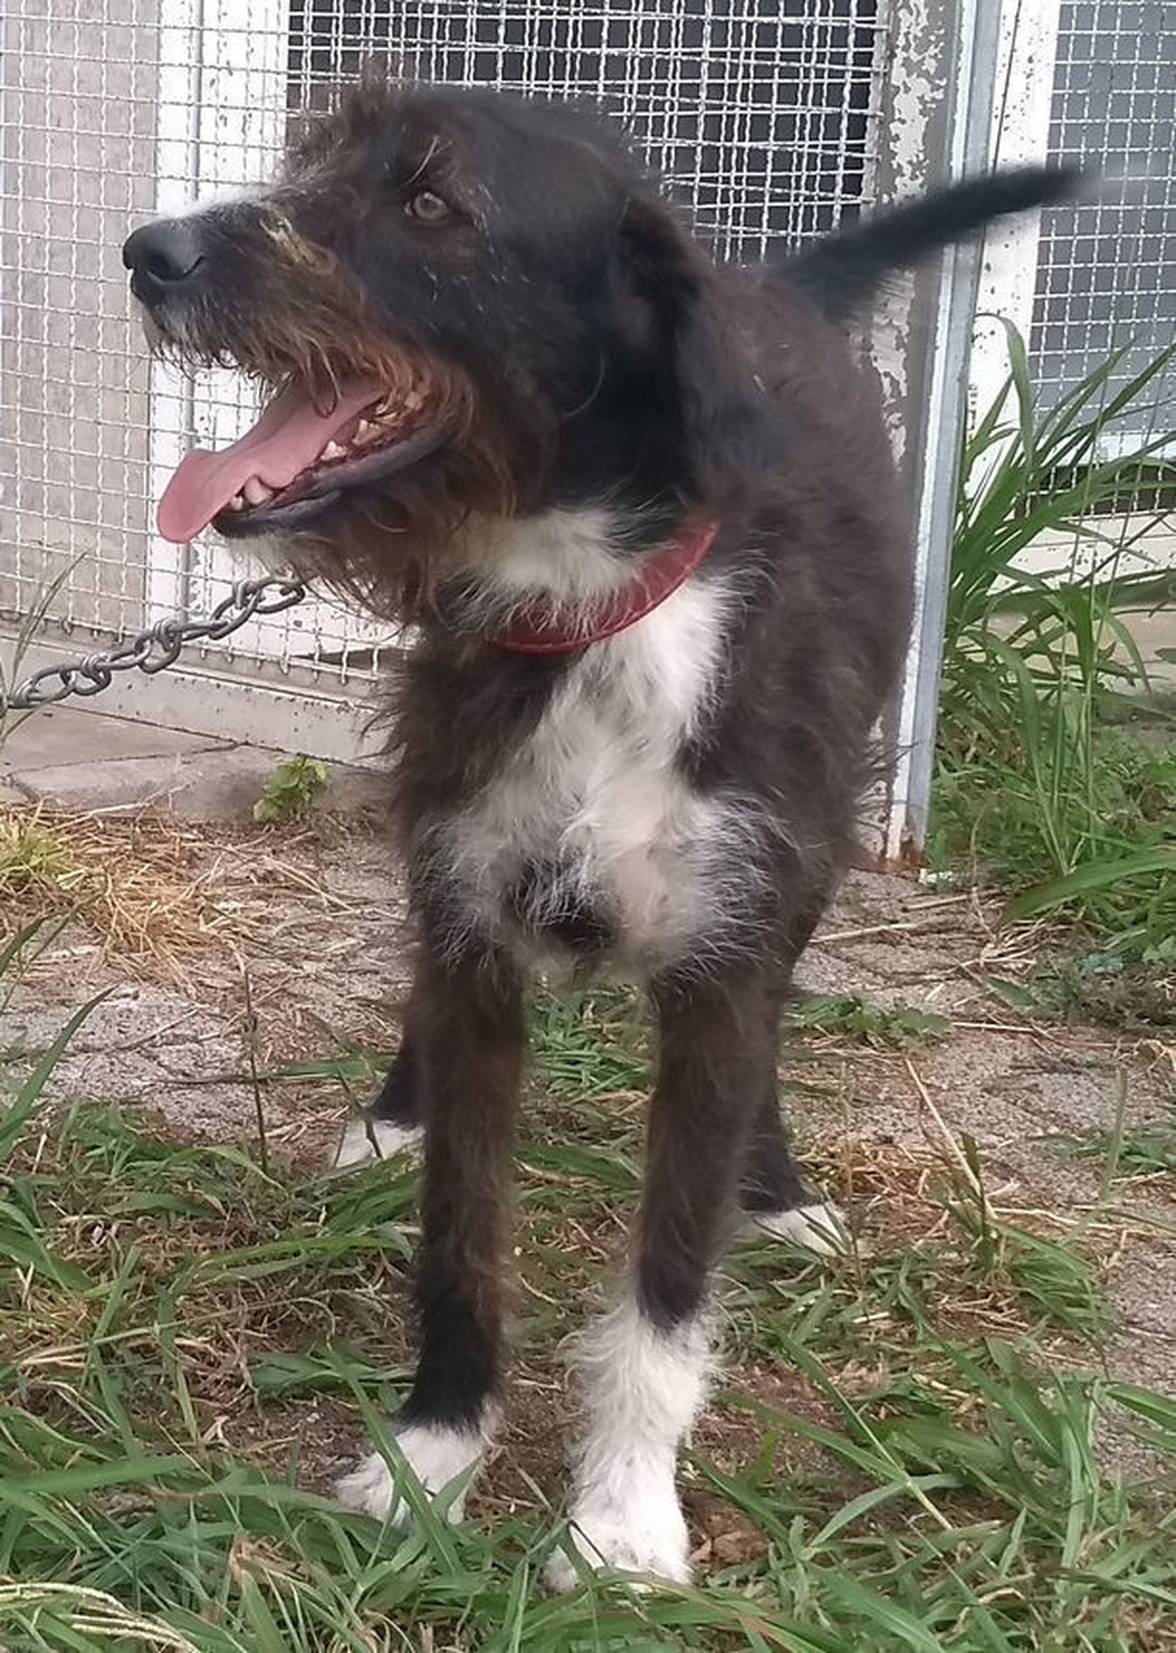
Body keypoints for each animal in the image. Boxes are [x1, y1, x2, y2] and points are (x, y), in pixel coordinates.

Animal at [123, 75, 1074, 1586]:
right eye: (311, 160)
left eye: (432, 202)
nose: (149, 253)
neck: (575, 603)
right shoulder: (470, 932)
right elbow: (459, 1237)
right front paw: (435, 1454)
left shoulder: (723, 960)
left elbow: (668, 1288)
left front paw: (624, 1518)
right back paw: (390, 1118)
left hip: (806, 859)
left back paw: (777, 1188)